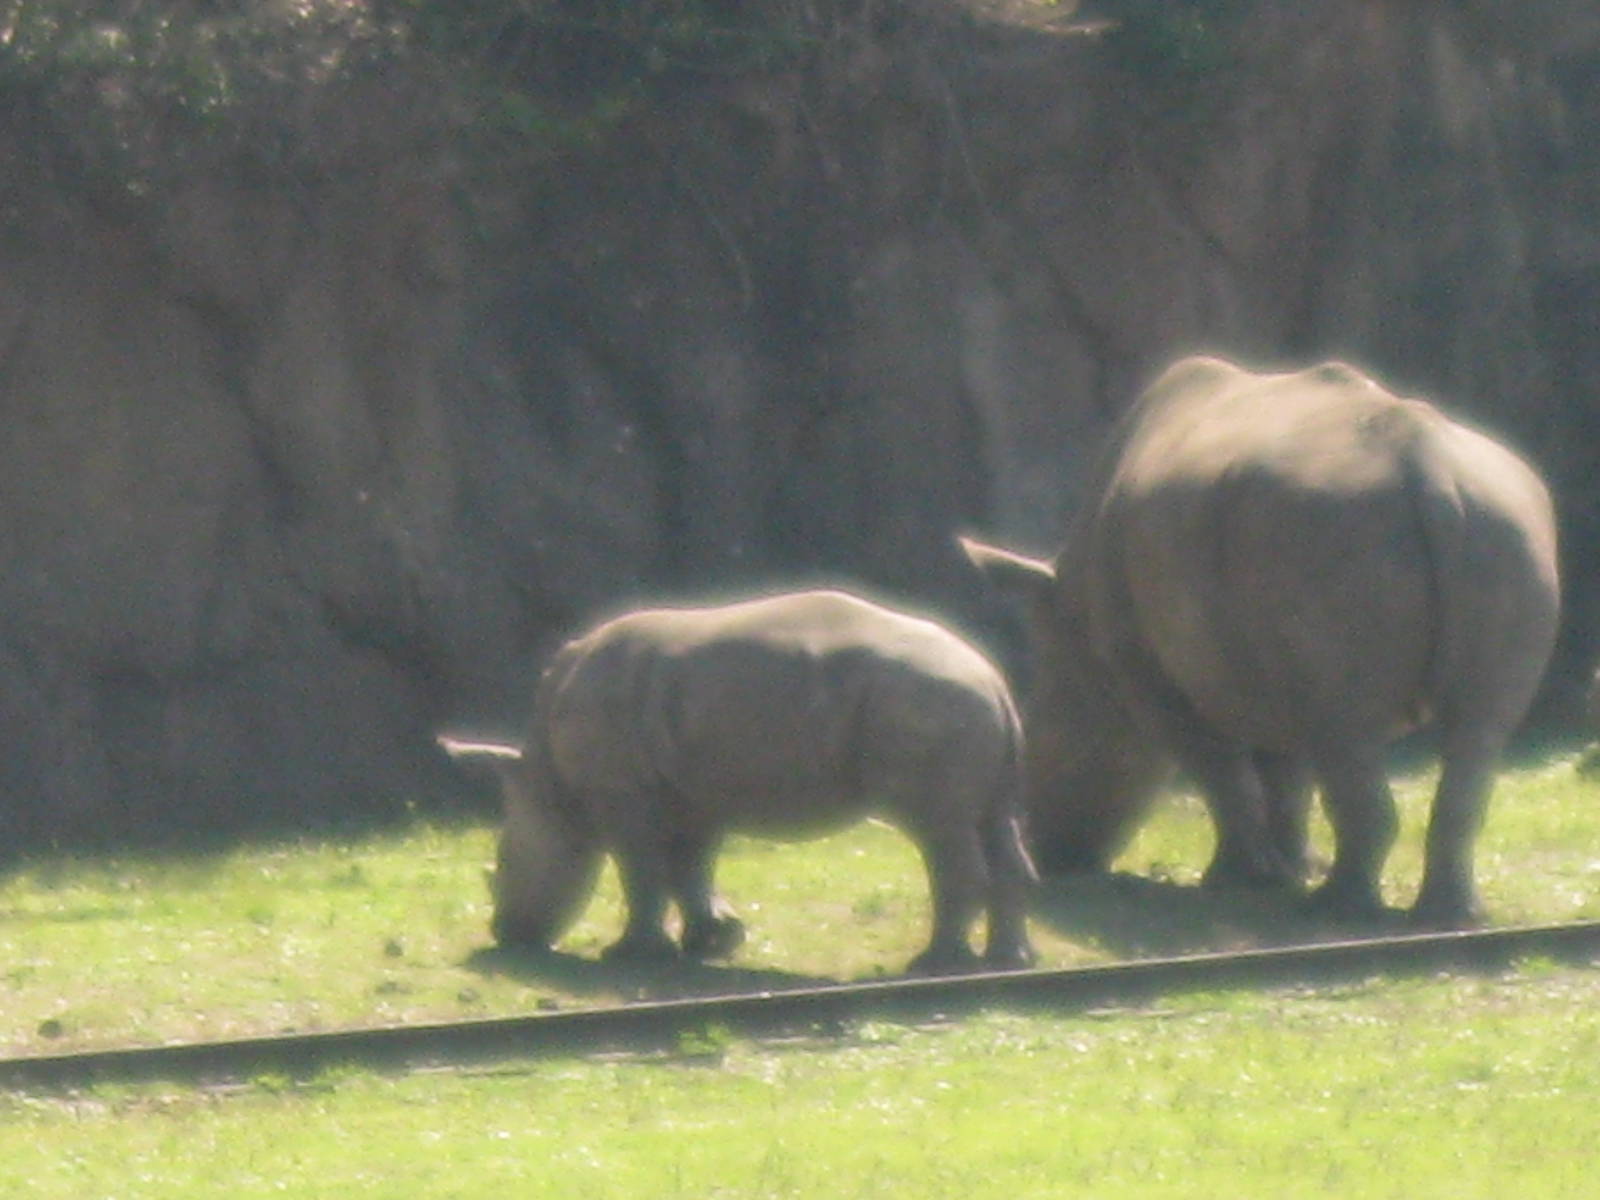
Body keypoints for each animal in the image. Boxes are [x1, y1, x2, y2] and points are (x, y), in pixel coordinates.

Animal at [441, 589, 1037, 973]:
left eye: (506, 863)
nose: (506, 933)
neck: (546, 780)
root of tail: (993, 679)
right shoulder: (691, 788)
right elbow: (691, 866)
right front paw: (714, 942)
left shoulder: (621, 792)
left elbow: (642, 868)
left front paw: (632, 954)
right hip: (960, 705)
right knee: (992, 821)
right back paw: (1009, 960)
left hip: (928, 700)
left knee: (938, 829)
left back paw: (935, 963)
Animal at [963, 355, 1560, 928]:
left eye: (1041, 737)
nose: (1050, 856)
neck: (1077, 640)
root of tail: (1428, 467)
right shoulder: (1264, 656)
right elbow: (1284, 772)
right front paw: (1290, 869)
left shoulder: (1146, 671)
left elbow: (1219, 770)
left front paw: (1238, 881)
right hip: (1500, 524)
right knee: (1473, 729)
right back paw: (1448, 915)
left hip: (1332, 531)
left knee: (1346, 731)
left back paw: (1336, 910)